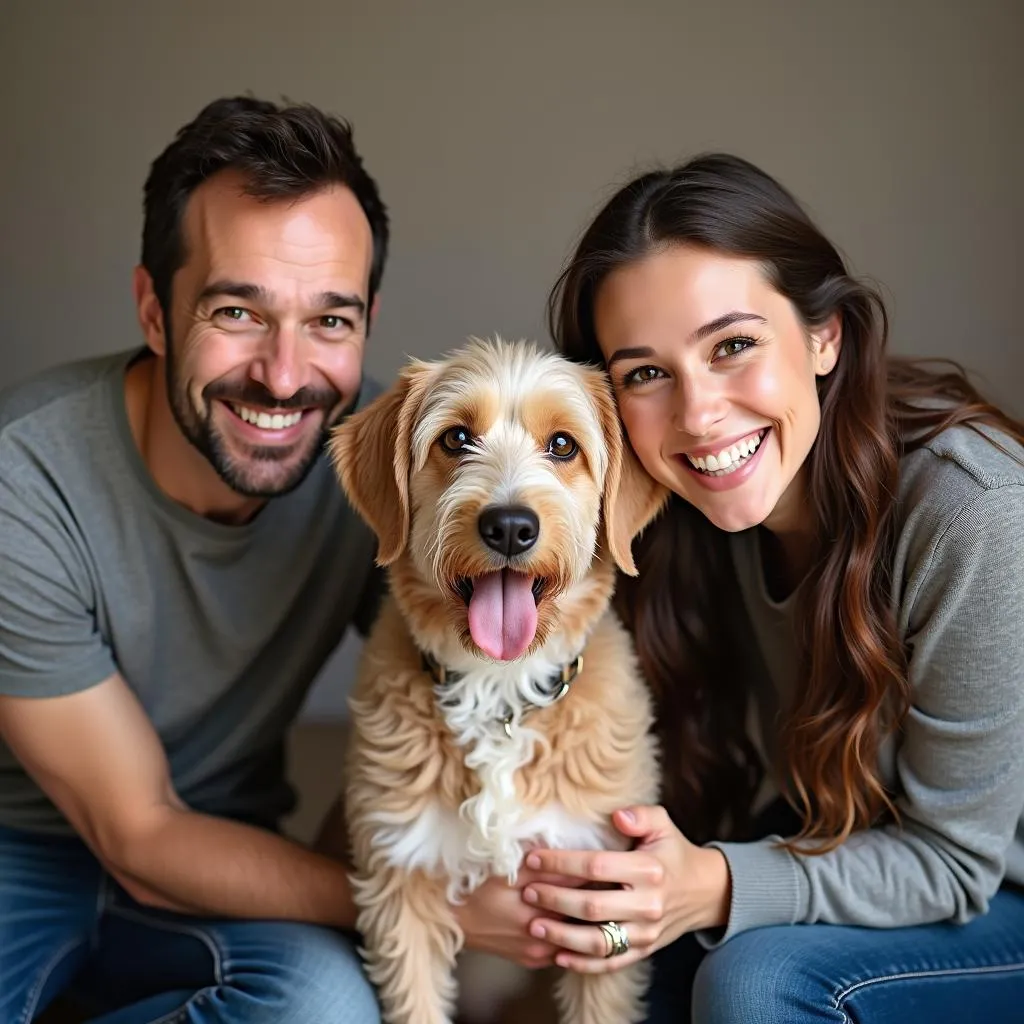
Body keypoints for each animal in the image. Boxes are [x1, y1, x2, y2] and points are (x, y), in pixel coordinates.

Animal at [325, 339, 663, 1024]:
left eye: (562, 446)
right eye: (456, 438)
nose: (509, 525)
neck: (500, 691)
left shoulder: (603, 883)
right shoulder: (400, 882)